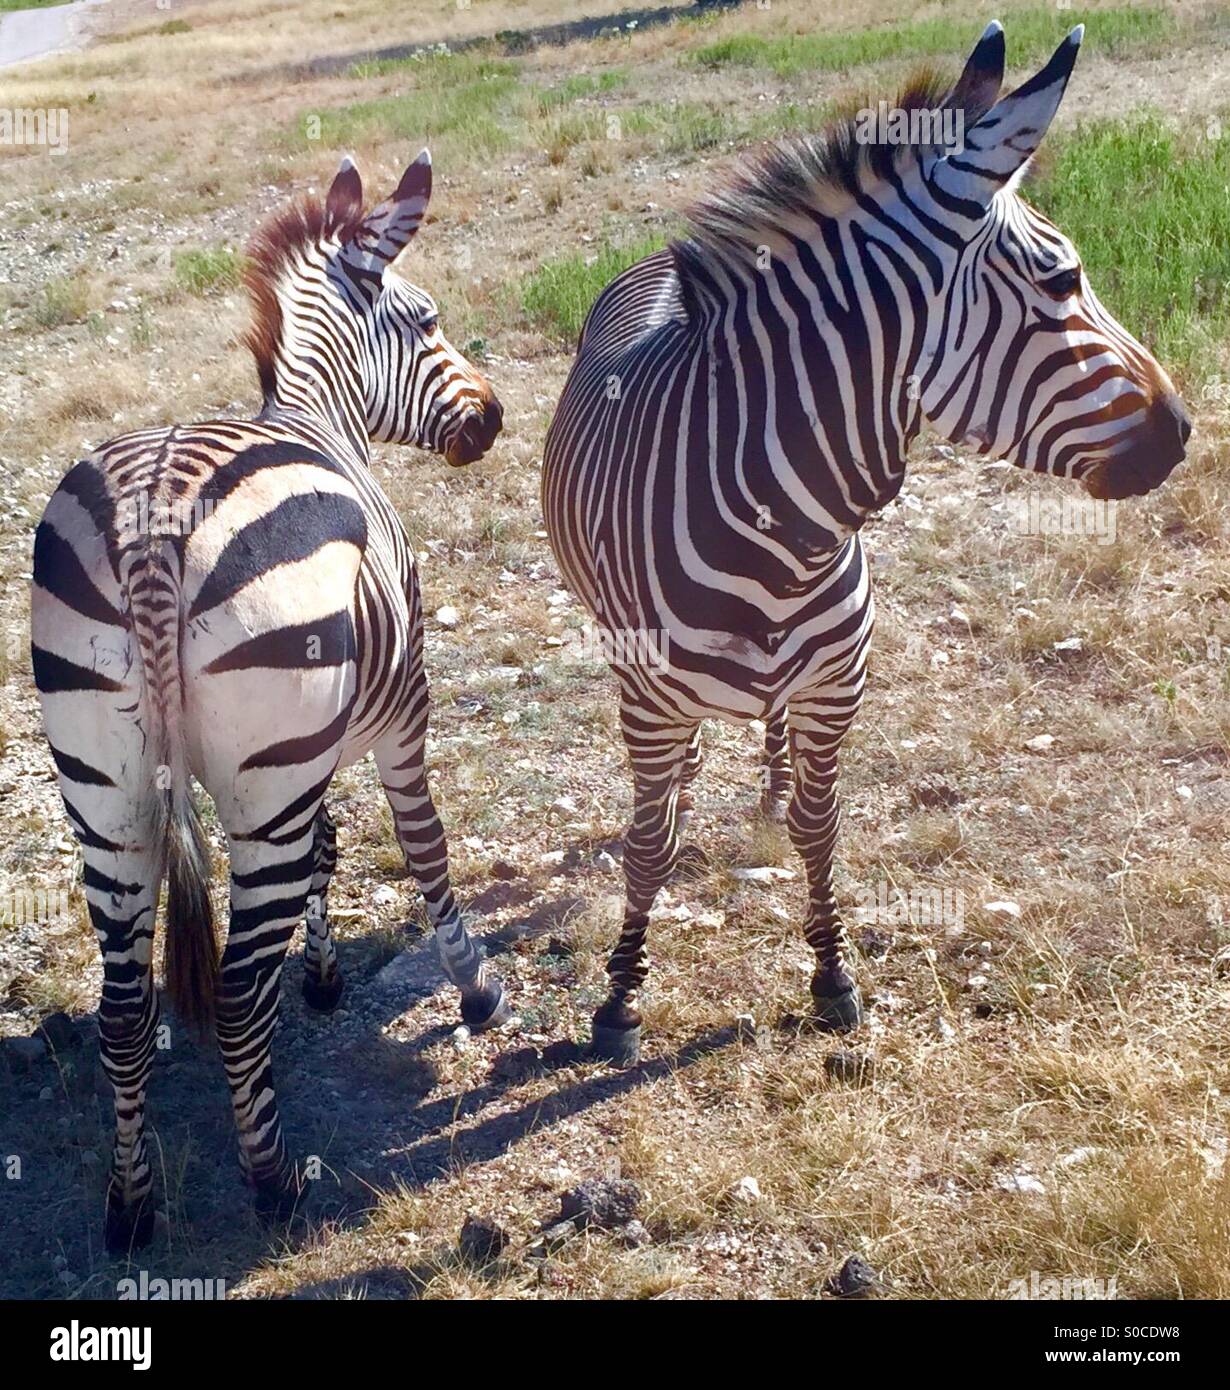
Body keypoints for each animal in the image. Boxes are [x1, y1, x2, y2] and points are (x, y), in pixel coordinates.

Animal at [31, 152, 508, 1251]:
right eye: (426, 318)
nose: (495, 416)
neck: (315, 413)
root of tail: (156, 518)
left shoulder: (311, 755)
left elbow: (332, 850)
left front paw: (326, 971)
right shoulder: (397, 711)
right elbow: (425, 848)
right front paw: (471, 985)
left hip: (109, 798)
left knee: (124, 1001)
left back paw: (130, 1205)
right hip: (261, 789)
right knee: (241, 990)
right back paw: (277, 1180)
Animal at [539, 24, 1189, 1061]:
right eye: (1063, 279)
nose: (1184, 432)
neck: (780, 533)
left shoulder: (837, 684)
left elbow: (820, 827)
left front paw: (831, 976)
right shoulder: (646, 698)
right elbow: (648, 844)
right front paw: (620, 998)